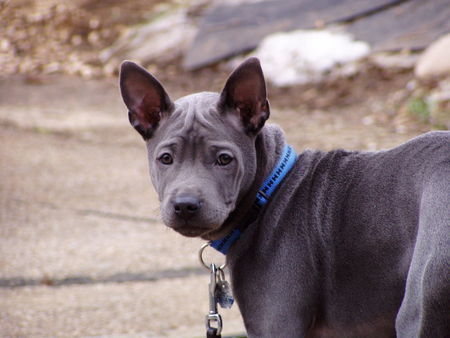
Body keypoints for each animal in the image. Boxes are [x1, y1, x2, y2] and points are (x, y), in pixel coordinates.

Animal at [120, 56, 450, 336]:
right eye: (165, 158)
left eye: (225, 159)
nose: (185, 205)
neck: (266, 195)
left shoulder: (277, 326)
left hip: (417, 308)